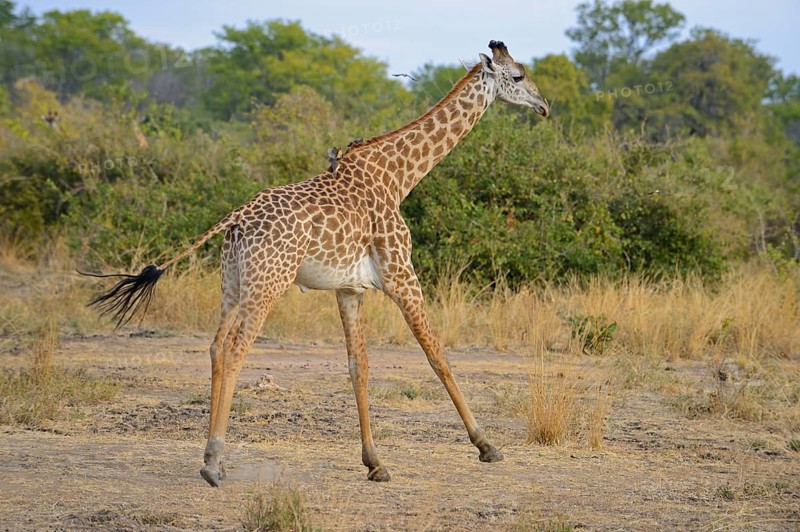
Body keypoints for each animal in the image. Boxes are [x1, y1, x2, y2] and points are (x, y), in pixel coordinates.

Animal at [84, 40, 549, 486]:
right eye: (518, 75)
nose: (544, 105)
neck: (399, 177)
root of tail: (235, 218)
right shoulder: (401, 274)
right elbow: (438, 355)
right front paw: (486, 445)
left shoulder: (349, 289)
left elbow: (359, 367)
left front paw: (374, 464)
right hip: (269, 283)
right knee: (235, 350)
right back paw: (213, 463)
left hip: (232, 282)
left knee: (216, 346)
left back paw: (213, 457)